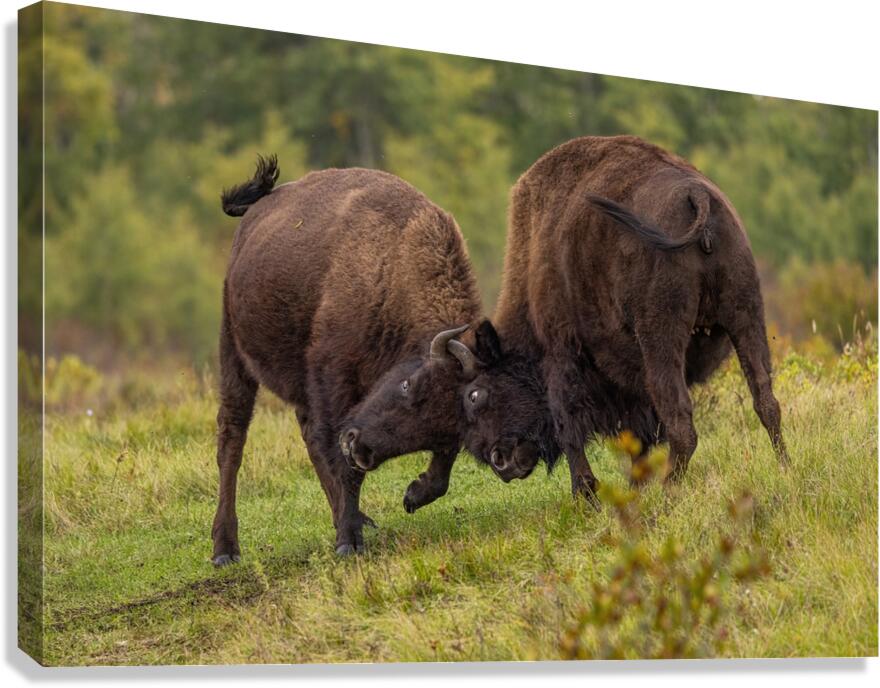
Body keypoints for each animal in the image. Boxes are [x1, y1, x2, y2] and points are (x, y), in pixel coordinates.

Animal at [212, 157, 481, 562]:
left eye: (447, 421)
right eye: (406, 385)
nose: (361, 448)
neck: (392, 267)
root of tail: (255, 215)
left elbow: (443, 464)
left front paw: (412, 495)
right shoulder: (334, 382)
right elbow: (342, 464)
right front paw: (348, 542)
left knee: (308, 436)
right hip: (234, 353)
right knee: (232, 437)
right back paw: (225, 548)